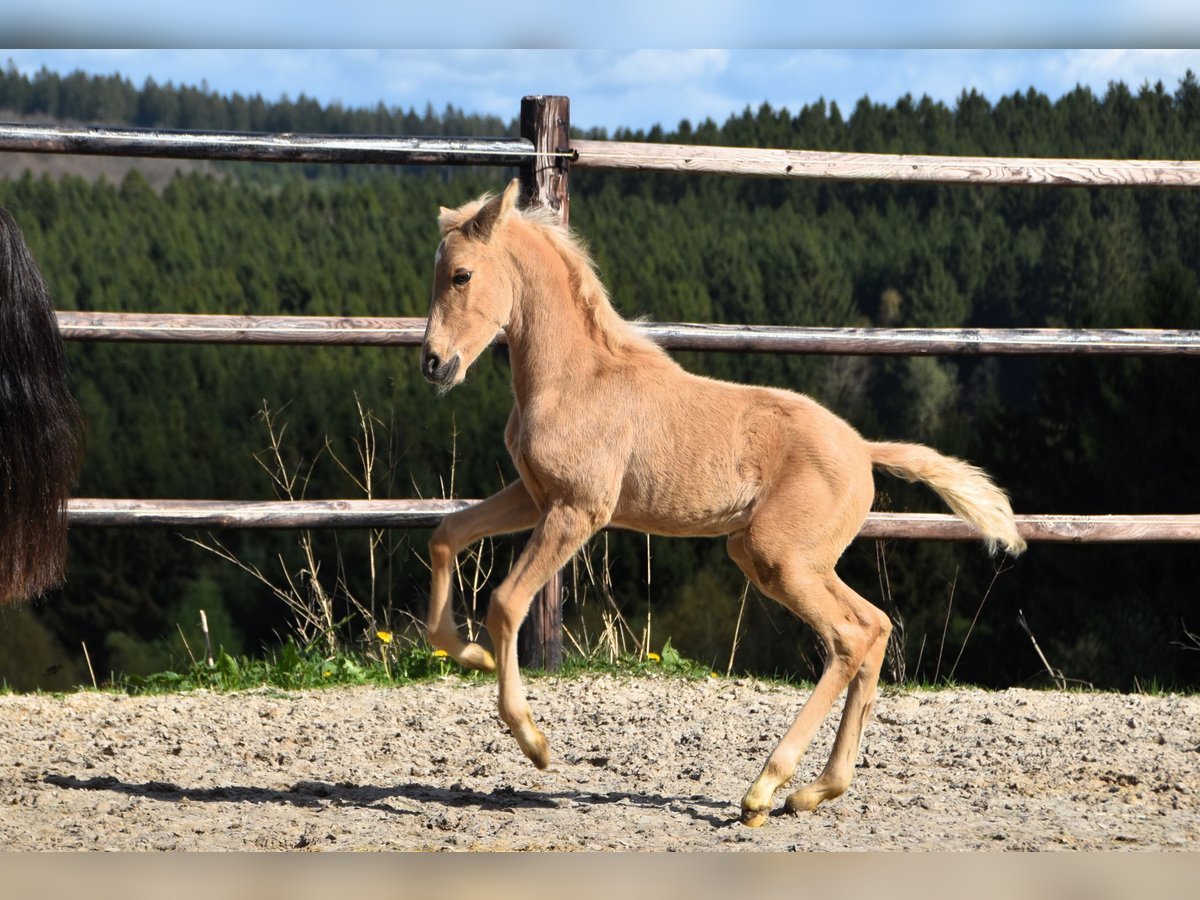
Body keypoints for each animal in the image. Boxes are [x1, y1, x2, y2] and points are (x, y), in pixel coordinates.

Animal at [422, 180, 1022, 830]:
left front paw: (534, 741)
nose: (433, 363)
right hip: (792, 559)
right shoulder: (535, 498)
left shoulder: (578, 510)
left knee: (849, 637)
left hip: (776, 555)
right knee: (875, 626)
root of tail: (864, 449)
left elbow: (507, 602)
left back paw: (764, 789)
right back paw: (815, 791)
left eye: (461, 275)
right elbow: (446, 533)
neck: (575, 378)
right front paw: (467, 653)